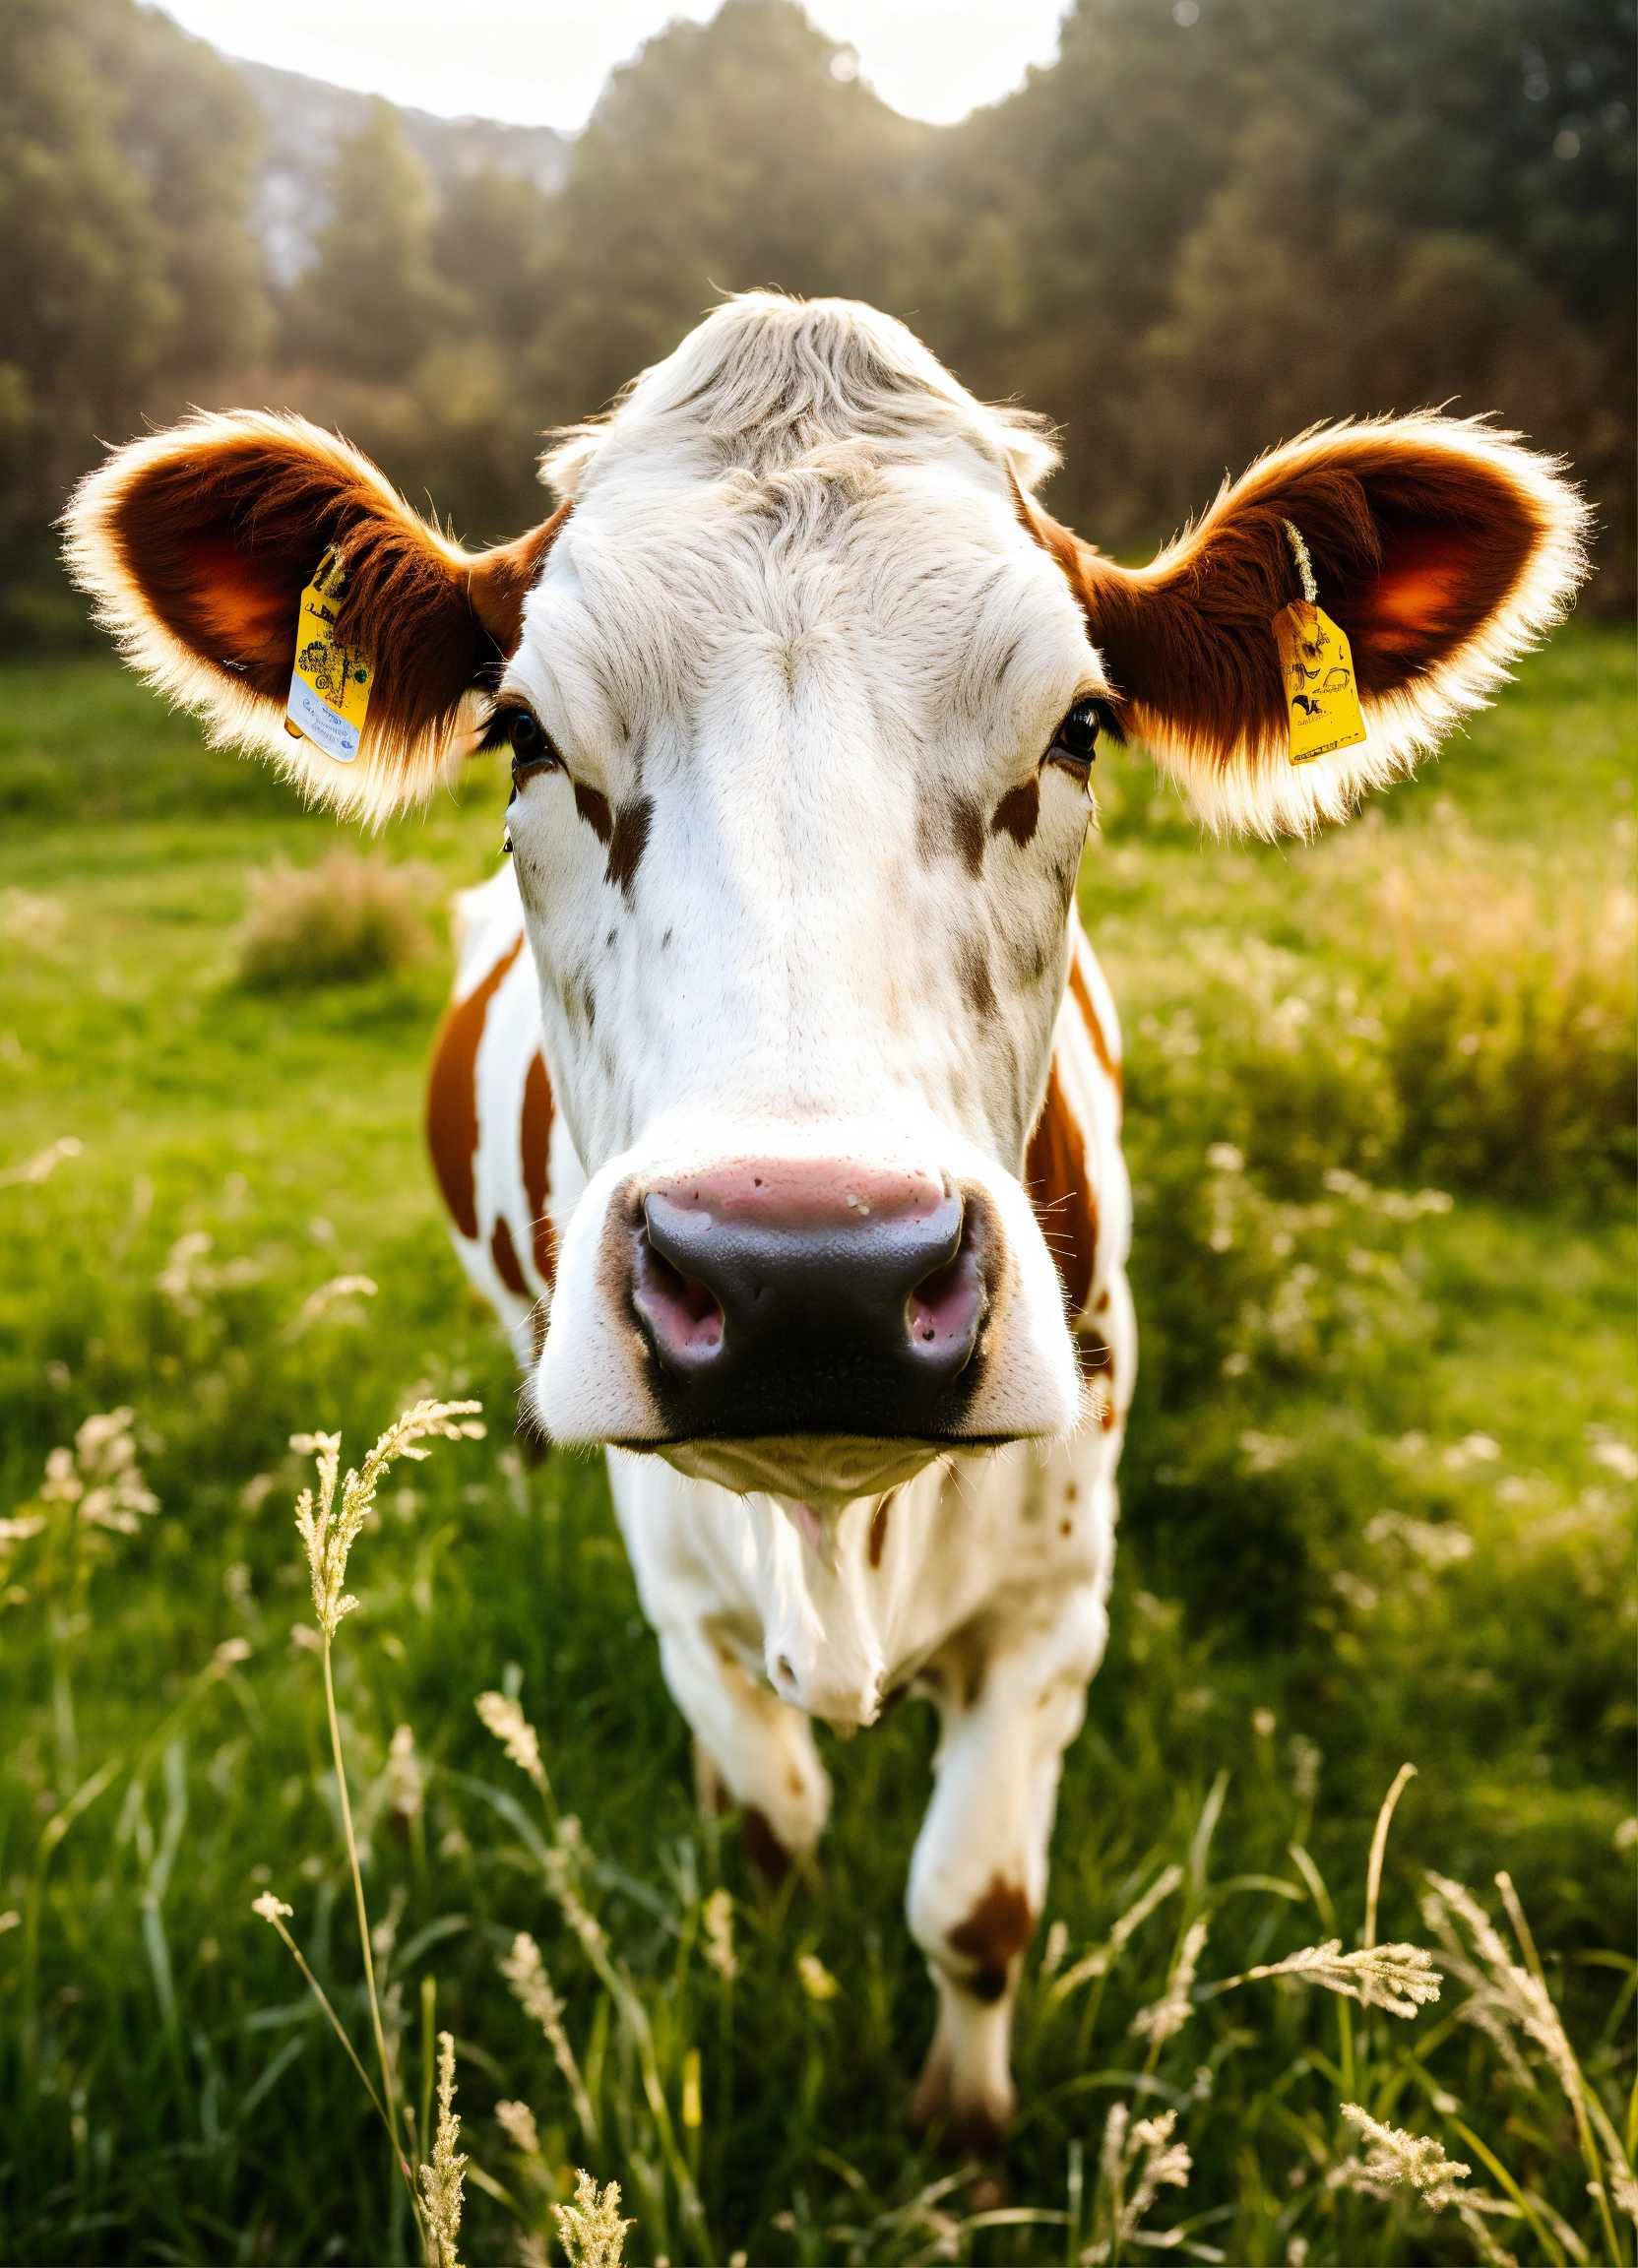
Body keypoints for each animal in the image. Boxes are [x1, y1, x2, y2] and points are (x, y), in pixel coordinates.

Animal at [64, 293, 1586, 2146]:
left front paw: (962, 2136)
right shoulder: (676, 1592)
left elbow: (975, 1905)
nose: (811, 1275)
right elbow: (770, 1830)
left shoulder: (1057, 1593)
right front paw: (766, 2000)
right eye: (523, 733)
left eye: (1078, 726)